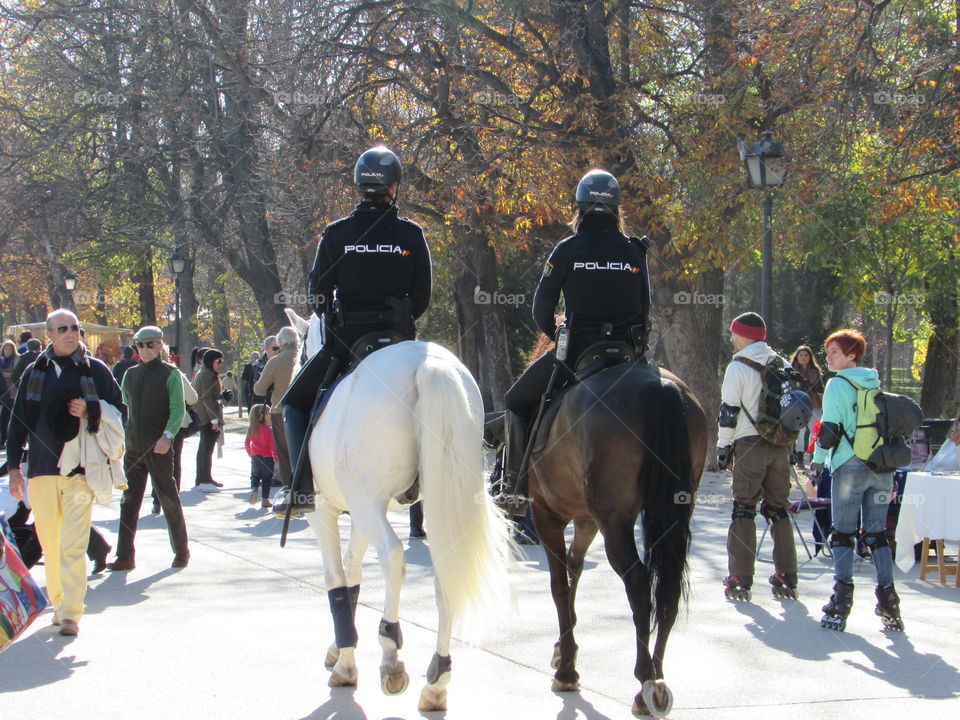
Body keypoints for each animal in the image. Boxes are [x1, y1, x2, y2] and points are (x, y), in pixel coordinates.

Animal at [284, 310, 514, 712]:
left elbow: (336, 576)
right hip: (425, 502)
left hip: (367, 505)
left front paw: (345, 661)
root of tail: (429, 365)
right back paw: (437, 680)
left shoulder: (328, 512)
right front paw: (341, 646)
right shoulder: (361, 515)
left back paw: (390, 651)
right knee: (444, 573)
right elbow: (353, 571)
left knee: (392, 557)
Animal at [527, 360, 707, 717]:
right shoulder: (586, 521)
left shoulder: (547, 515)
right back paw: (656, 677)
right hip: (670, 513)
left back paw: (644, 679)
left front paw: (566, 669)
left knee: (637, 582)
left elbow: (559, 584)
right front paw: (564, 649)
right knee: (668, 587)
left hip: (614, 521)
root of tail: (659, 386)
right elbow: (574, 569)